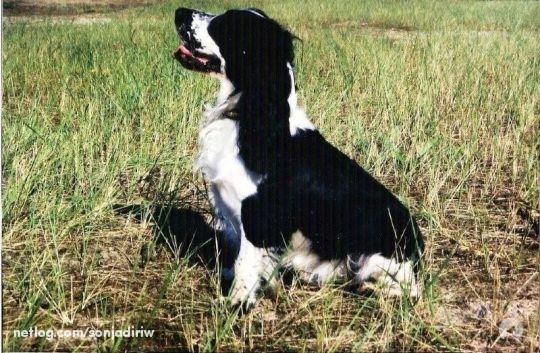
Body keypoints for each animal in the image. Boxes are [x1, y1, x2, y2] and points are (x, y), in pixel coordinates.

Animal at [173, 6, 422, 308]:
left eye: (224, 24)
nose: (180, 12)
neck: (248, 117)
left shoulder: (258, 215)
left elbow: (246, 262)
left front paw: (237, 302)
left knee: (408, 289)